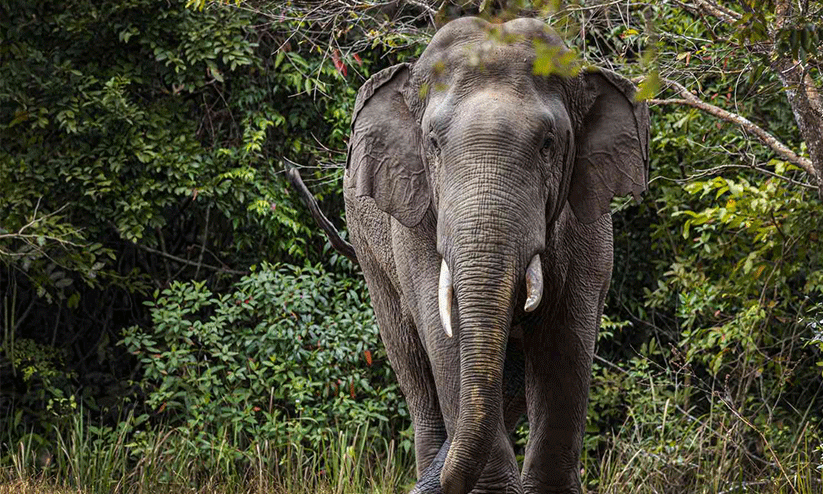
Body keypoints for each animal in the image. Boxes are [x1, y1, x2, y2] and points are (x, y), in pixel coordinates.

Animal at [290, 15, 652, 494]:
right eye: (432, 142)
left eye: (548, 143)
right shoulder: (416, 217)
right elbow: (445, 336)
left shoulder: (586, 217)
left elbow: (567, 342)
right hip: (370, 252)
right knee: (413, 367)